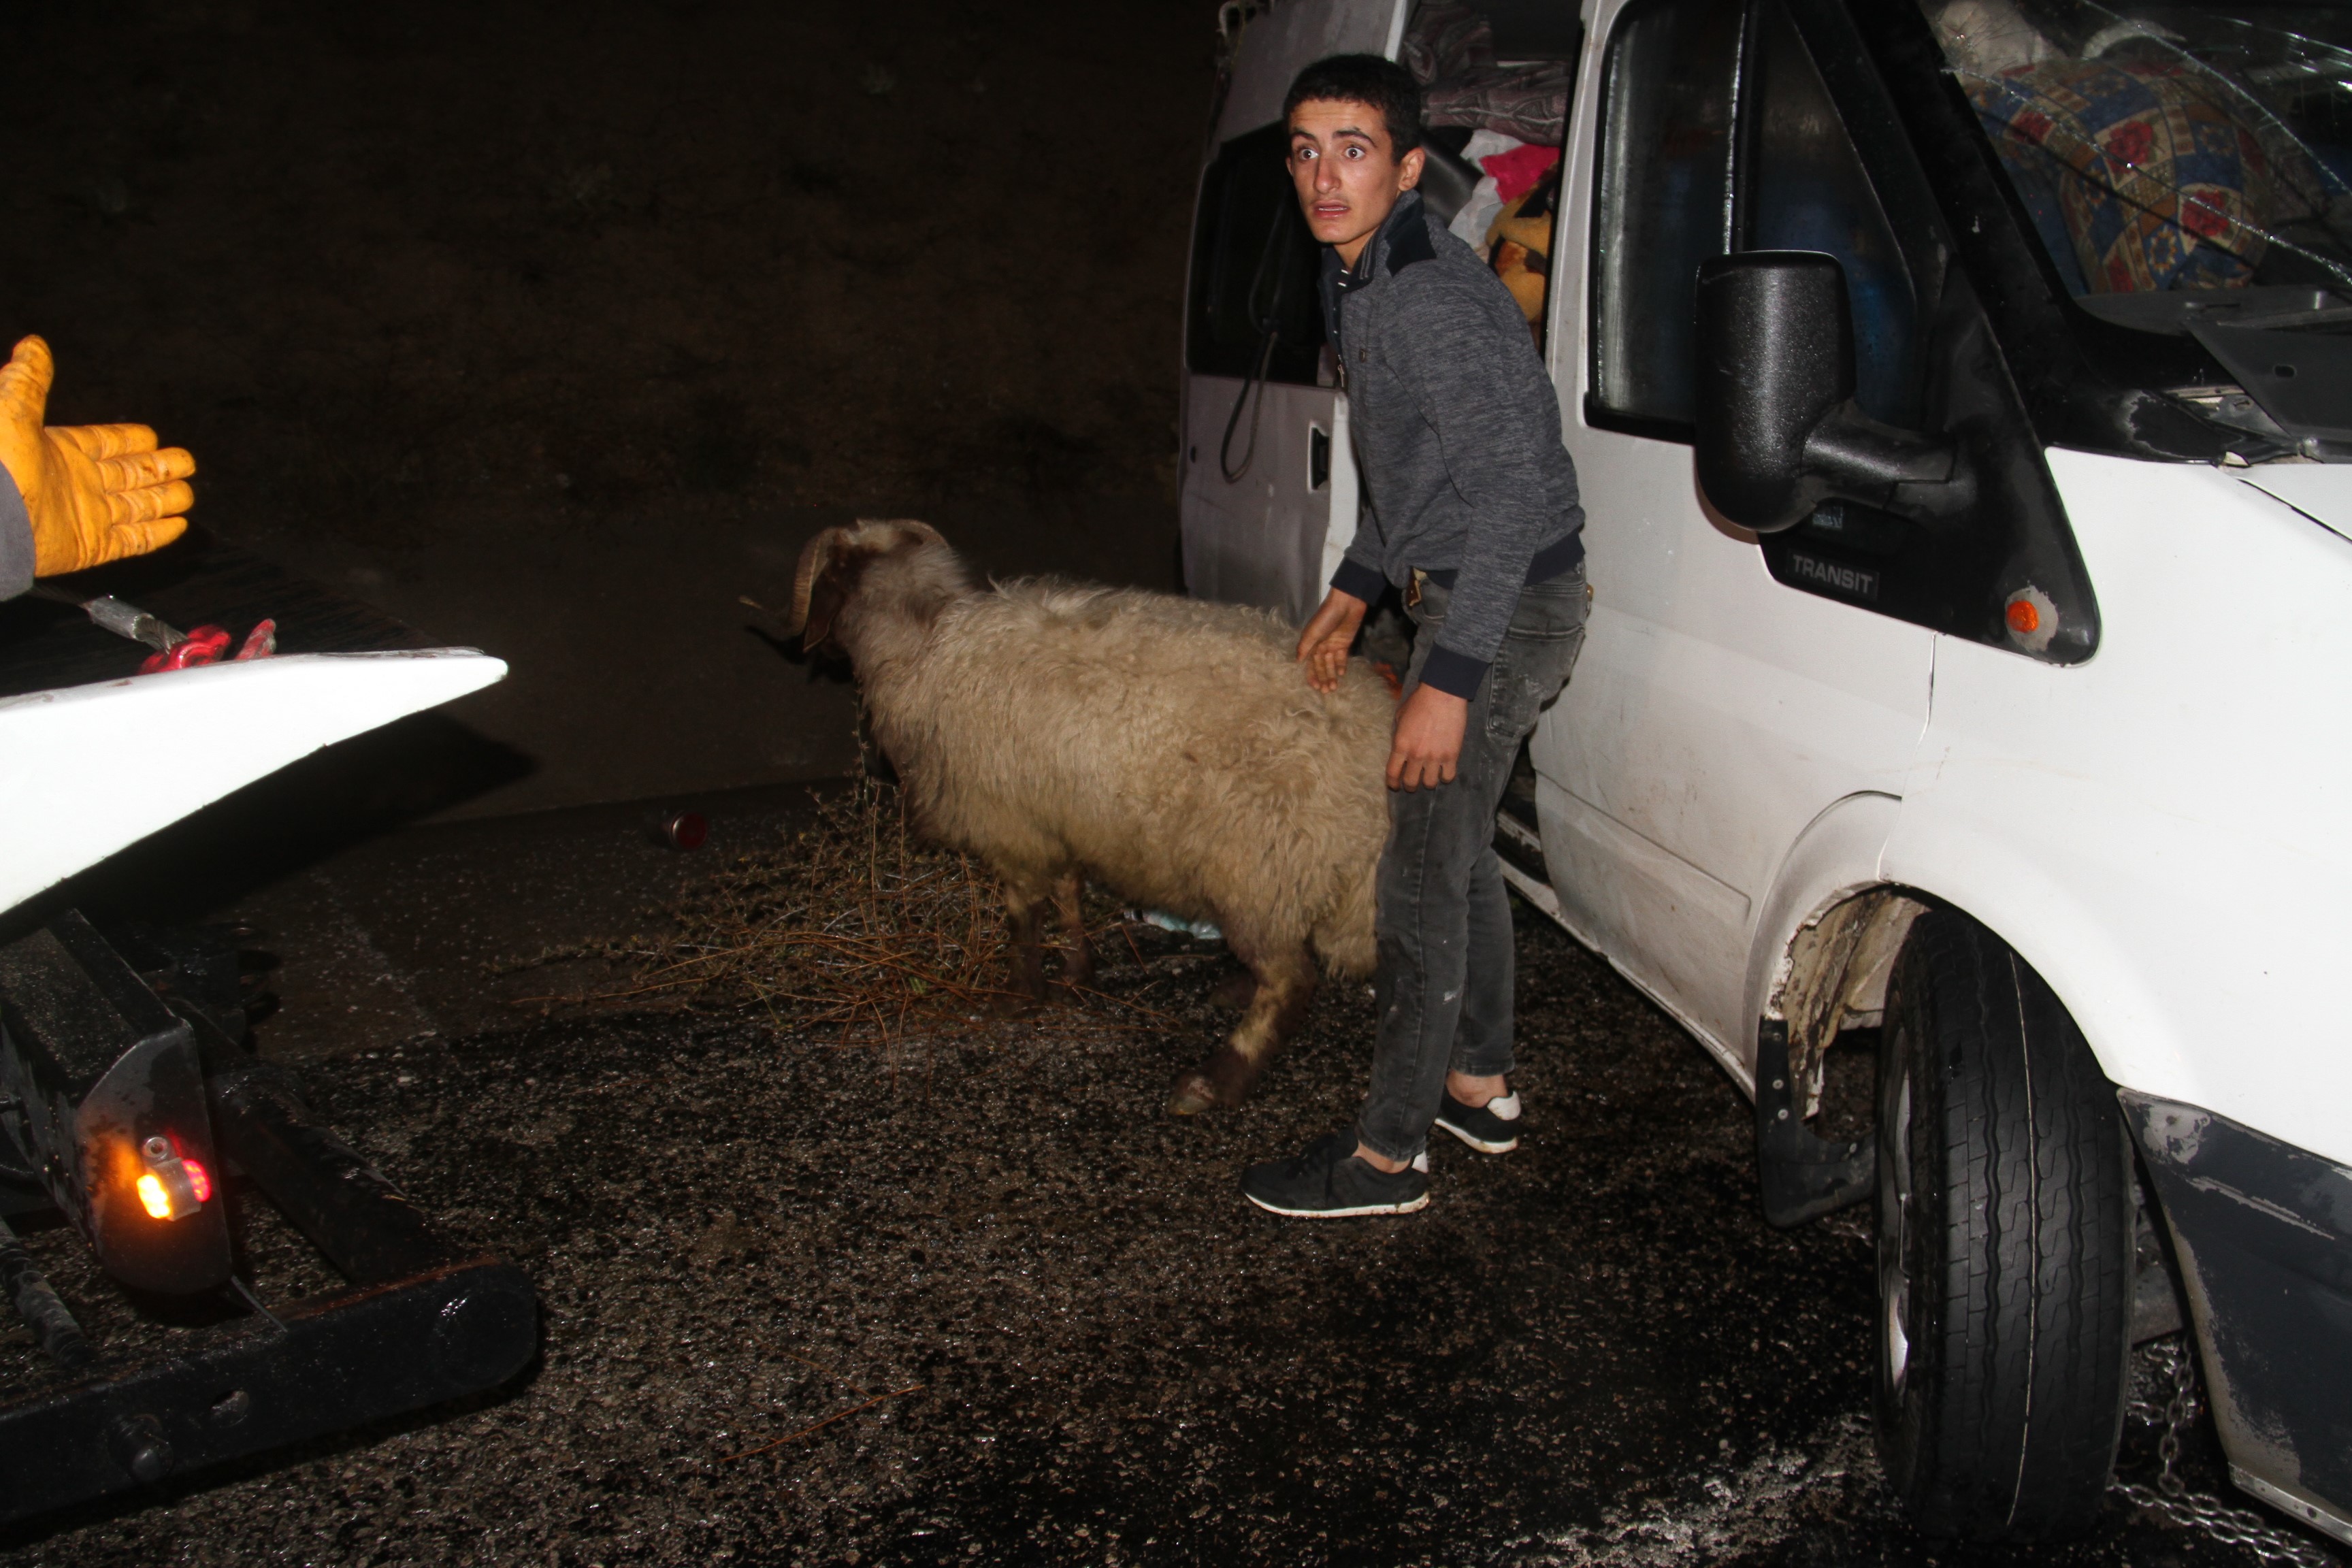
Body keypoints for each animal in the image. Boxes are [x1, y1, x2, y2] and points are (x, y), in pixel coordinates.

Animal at [790, 521, 1392, 1109]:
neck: (924, 648)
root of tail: (1377, 773)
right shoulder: (1057, 818)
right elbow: (1069, 895)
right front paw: (1078, 973)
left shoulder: (1013, 827)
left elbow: (1022, 916)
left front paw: (1019, 995)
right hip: (1286, 873)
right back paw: (1235, 991)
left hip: (1258, 865)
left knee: (1290, 981)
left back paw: (1216, 1080)